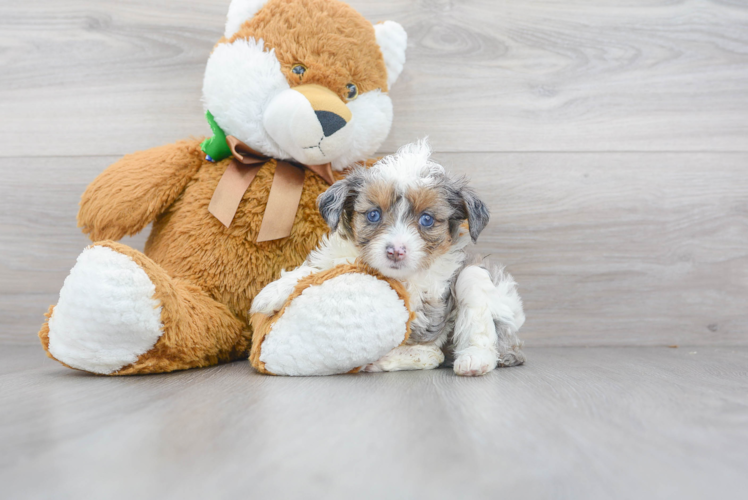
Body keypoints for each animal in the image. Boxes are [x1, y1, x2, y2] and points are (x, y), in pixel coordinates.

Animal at [253, 140, 524, 376]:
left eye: (427, 219)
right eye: (374, 214)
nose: (395, 251)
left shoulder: (432, 308)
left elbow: (423, 341)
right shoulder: (341, 253)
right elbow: (319, 267)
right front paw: (272, 292)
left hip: (485, 289)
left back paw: (473, 359)